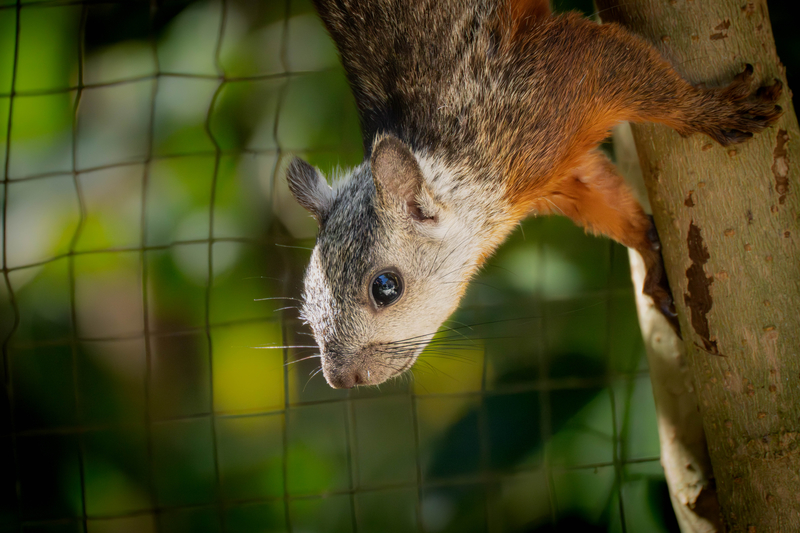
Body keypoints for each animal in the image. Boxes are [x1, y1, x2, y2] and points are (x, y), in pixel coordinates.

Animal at [286, 0, 783, 389]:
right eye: (306, 310)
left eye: (385, 287)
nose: (343, 380)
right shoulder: (560, 175)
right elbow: (610, 204)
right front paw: (651, 255)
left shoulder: (555, 74)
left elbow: (636, 73)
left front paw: (710, 110)